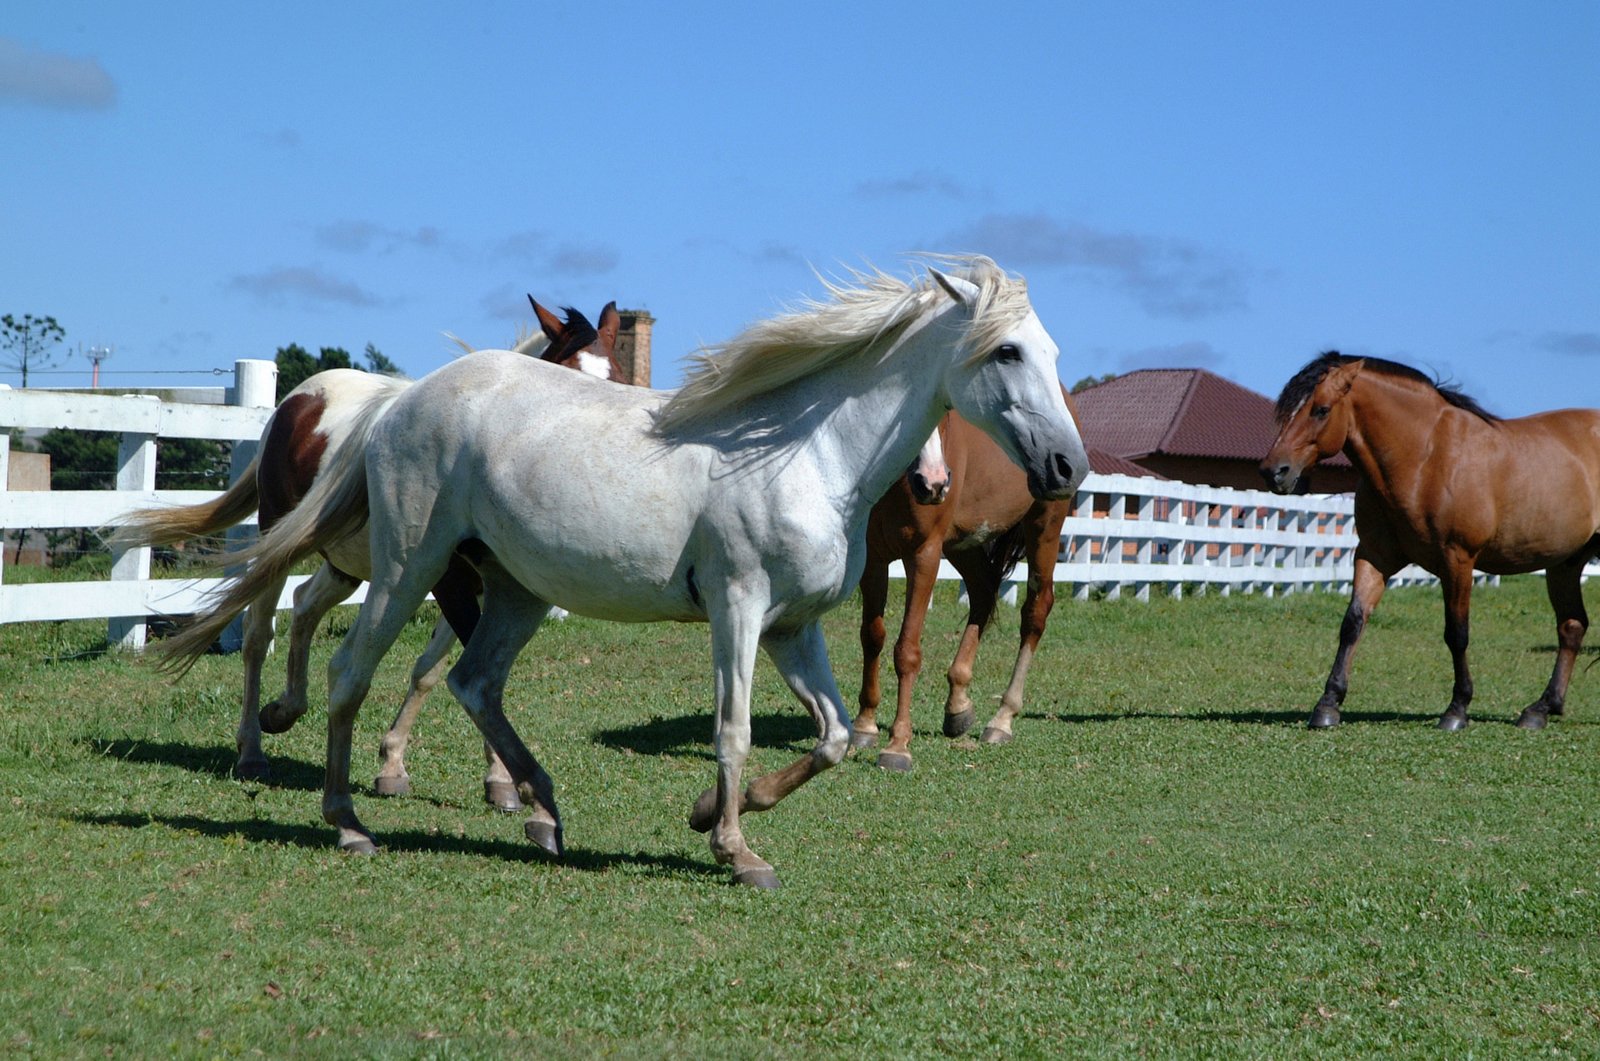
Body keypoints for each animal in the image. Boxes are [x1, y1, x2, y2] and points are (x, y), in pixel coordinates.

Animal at [114, 300, 626, 810]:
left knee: (304, 606)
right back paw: (252, 750)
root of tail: (297, 400)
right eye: (566, 374)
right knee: (258, 637)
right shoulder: (449, 583)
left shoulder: (479, 587)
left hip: (347, 566)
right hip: (282, 543)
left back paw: (285, 709)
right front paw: (502, 776)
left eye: (619, 378)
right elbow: (472, 672)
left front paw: (398, 764)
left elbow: (432, 671)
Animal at [850, 395, 1081, 772]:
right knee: (984, 592)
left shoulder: (925, 554)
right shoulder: (872, 558)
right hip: (963, 544)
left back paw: (1002, 719)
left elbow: (907, 650)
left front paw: (898, 745)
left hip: (1044, 526)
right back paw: (958, 705)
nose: (933, 482)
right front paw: (864, 725)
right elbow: (872, 638)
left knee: (1036, 611)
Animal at [1260, 351, 1600, 731]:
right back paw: (1540, 709)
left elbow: (1457, 633)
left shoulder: (1458, 561)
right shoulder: (1373, 556)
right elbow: (1353, 623)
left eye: (1321, 409)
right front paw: (1328, 704)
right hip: (1565, 564)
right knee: (1572, 626)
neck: (1425, 459)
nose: (1274, 471)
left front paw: (1457, 709)